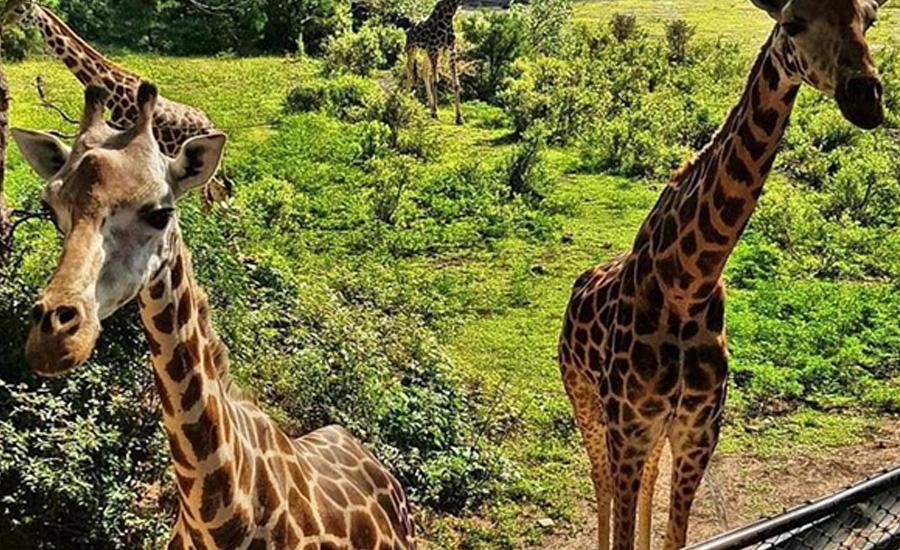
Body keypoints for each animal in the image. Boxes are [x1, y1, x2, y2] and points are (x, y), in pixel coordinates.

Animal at [560, 1, 888, 550]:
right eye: (792, 23)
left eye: (869, 18)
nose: (865, 97)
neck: (687, 284)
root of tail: (580, 283)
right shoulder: (628, 429)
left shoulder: (696, 434)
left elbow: (673, 532)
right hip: (582, 396)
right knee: (599, 480)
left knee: (646, 481)